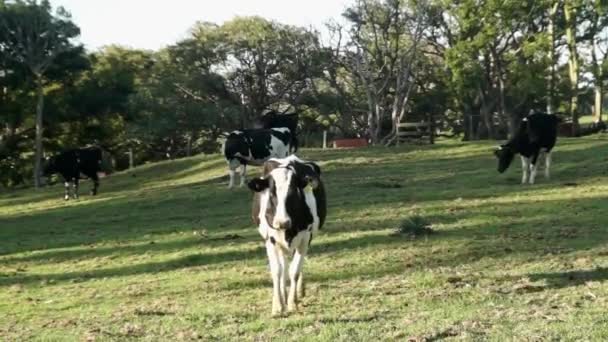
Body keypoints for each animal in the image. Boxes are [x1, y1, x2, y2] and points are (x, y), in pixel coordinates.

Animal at [246, 156, 326, 316]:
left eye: (293, 194)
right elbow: (277, 271)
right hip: (279, 244)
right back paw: (282, 295)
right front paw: (278, 306)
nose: (282, 222)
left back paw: (297, 293)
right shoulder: (270, 240)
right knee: (283, 268)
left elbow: (294, 270)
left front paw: (292, 303)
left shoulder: (305, 238)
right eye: (271, 194)